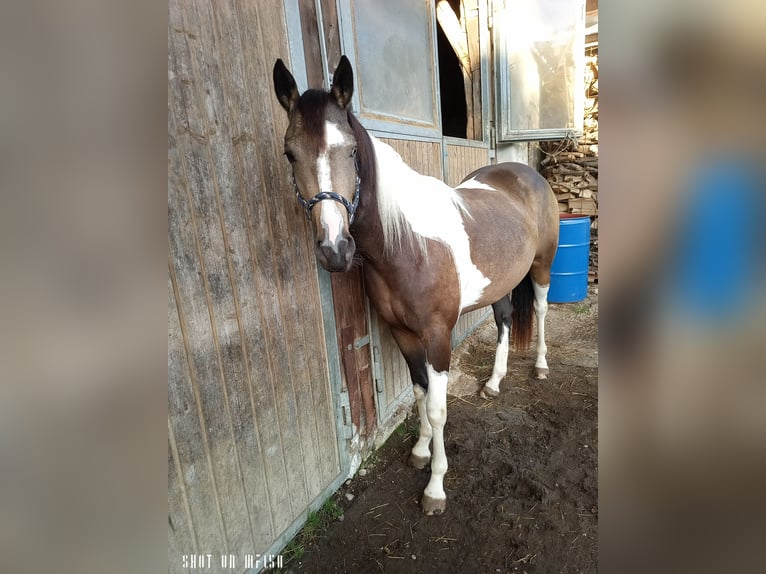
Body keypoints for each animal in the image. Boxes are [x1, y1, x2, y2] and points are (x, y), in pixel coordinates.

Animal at [272, 55, 560, 516]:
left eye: (351, 151)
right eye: (289, 153)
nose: (335, 249)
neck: (406, 244)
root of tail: (523, 172)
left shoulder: (438, 336)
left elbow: (439, 409)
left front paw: (436, 487)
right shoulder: (402, 334)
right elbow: (420, 393)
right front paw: (422, 451)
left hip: (541, 267)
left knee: (540, 309)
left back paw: (540, 366)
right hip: (500, 284)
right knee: (502, 322)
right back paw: (494, 382)